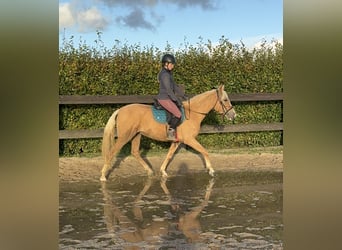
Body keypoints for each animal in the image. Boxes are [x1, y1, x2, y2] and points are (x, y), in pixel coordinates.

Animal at [100, 84, 236, 182]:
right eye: (225, 100)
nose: (233, 115)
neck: (192, 113)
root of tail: (120, 110)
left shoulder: (177, 141)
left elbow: (169, 155)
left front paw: (163, 172)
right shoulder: (189, 139)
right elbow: (204, 151)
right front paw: (211, 170)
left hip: (136, 135)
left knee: (134, 152)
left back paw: (150, 171)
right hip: (125, 136)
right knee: (111, 152)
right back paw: (103, 176)